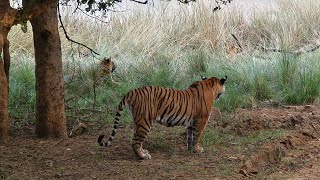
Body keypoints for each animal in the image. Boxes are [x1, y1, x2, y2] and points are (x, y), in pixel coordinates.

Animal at [97, 75, 228, 159]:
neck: (209, 84)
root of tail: (133, 91)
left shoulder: (192, 122)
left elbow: (190, 136)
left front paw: (191, 150)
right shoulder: (201, 120)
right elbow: (197, 136)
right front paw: (197, 149)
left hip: (137, 121)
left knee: (136, 139)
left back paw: (143, 152)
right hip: (145, 122)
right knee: (135, 142)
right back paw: (143, 156)